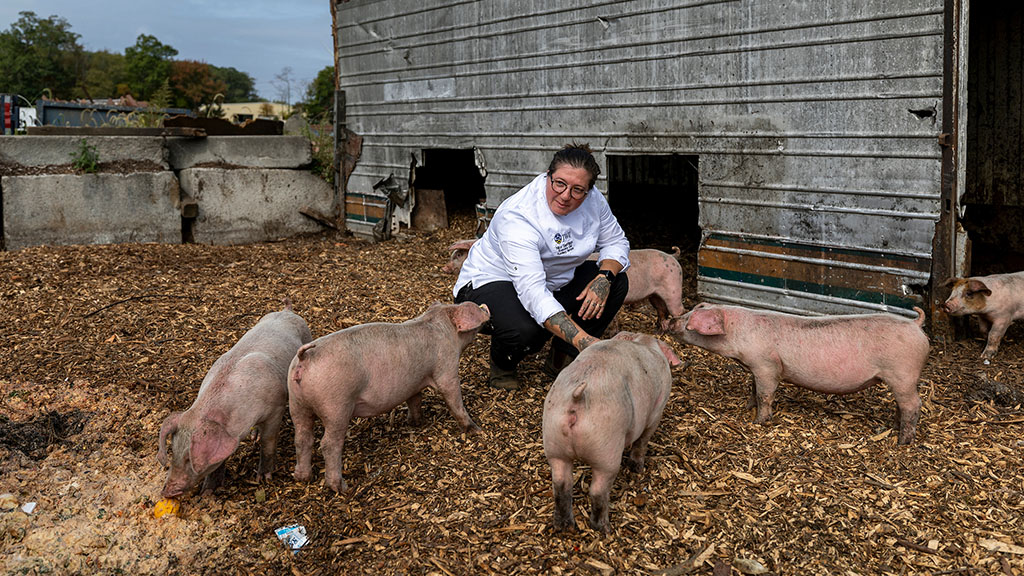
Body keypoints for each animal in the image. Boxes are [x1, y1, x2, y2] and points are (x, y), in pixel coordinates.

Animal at [157, 298, 312, 499]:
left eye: (188, 459)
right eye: (172, 451)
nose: (166, 491)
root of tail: (287, 310)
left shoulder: (275, 408)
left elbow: (268, 442)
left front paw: (263, 479)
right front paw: (208, 492)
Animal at [287, 301, 490, 493]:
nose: (485, 307)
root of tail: (304, 359)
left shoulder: (414, 383)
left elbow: (415, 400)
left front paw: (417, 423)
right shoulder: (446, 367)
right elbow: (453, 397)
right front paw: (476, 430)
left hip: (296, 403)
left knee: (302, 438)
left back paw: (302, 477)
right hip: (336, 406)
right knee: (328, 444)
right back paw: (341, 487)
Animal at [442, 239, 687, 330]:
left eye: (458, 255)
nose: (444, 267)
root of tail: (672, 256)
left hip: (673, 286)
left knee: (679, 309)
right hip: (655, 294)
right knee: (661, 309)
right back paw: (661, 328)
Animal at [542, 331, 682, 533]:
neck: (644, 341)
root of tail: (577, 398)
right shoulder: (657, 411)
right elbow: (642, 441)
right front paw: (637, 468)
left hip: (554, 441)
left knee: (561, 485)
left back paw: (564, 525)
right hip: (607, 449)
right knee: (597, 491)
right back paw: (604, 528)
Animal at [667, 303, 929, 445]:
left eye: (689, 319)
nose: (669, 321)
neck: (737, 335)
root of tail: (915, 325)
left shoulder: (766, 365)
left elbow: (765, 394)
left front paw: (758, 421)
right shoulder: (754, 368)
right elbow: (753, 389)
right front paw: (747, 407)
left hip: (902, 374)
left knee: (914, 404)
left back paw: (903, 441)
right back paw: (893, 426)